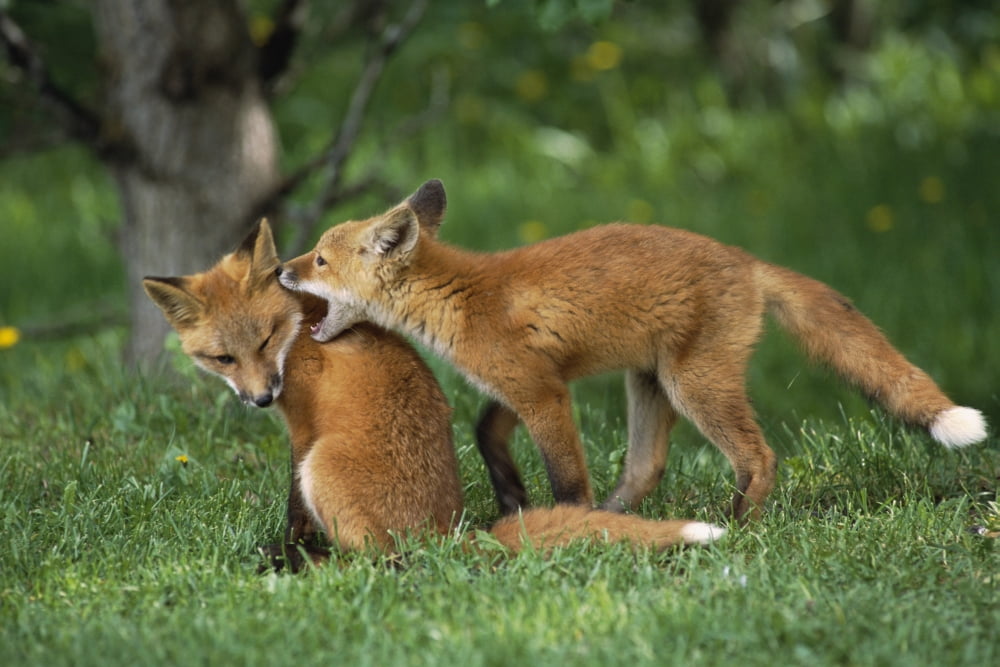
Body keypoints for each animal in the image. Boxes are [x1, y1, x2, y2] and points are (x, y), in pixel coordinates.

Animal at [143, 220, 725, 571]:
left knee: (381, 563)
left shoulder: (303, 432)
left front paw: (291, 551)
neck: (300, 333)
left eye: (265, 339)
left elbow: (294, 510)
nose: (262, 398)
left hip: (323, 467)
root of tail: (441, 535)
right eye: (223, 359)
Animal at [277, 179, 988, 522]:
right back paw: (624, 520)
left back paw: (738, 527)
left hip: (693, 385)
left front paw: (562, 521)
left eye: (318, 259)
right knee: (646, 468)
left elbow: (567, 477)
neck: (457, 295)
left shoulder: (542, 392)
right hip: (649, 384)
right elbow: (486, 433)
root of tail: (747, 261)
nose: (280, 272)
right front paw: (512, 499)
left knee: (759, 458)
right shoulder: (524, 385)